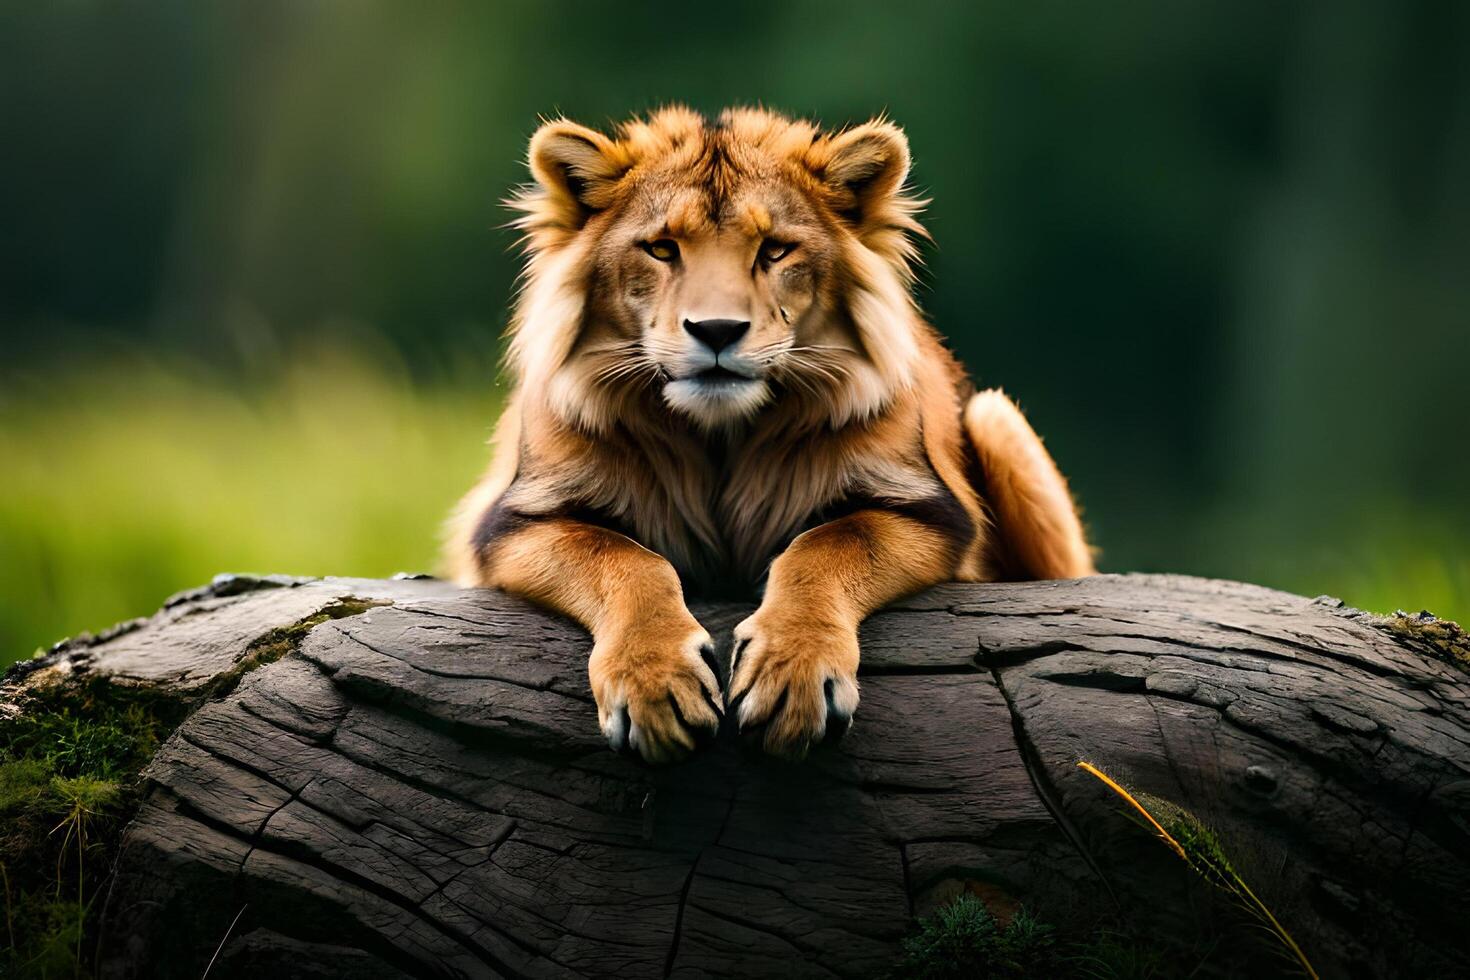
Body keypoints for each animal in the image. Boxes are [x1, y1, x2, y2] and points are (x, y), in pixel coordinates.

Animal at [443, 109, 1093, 764]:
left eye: (775, 250)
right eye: (662, 248)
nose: (717, 330)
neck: (720, 439)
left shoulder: (929, 512)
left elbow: (825, 546)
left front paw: (794, 679)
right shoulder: (514, 524)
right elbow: (626, 560)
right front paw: (655, 687)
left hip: (994, 417)